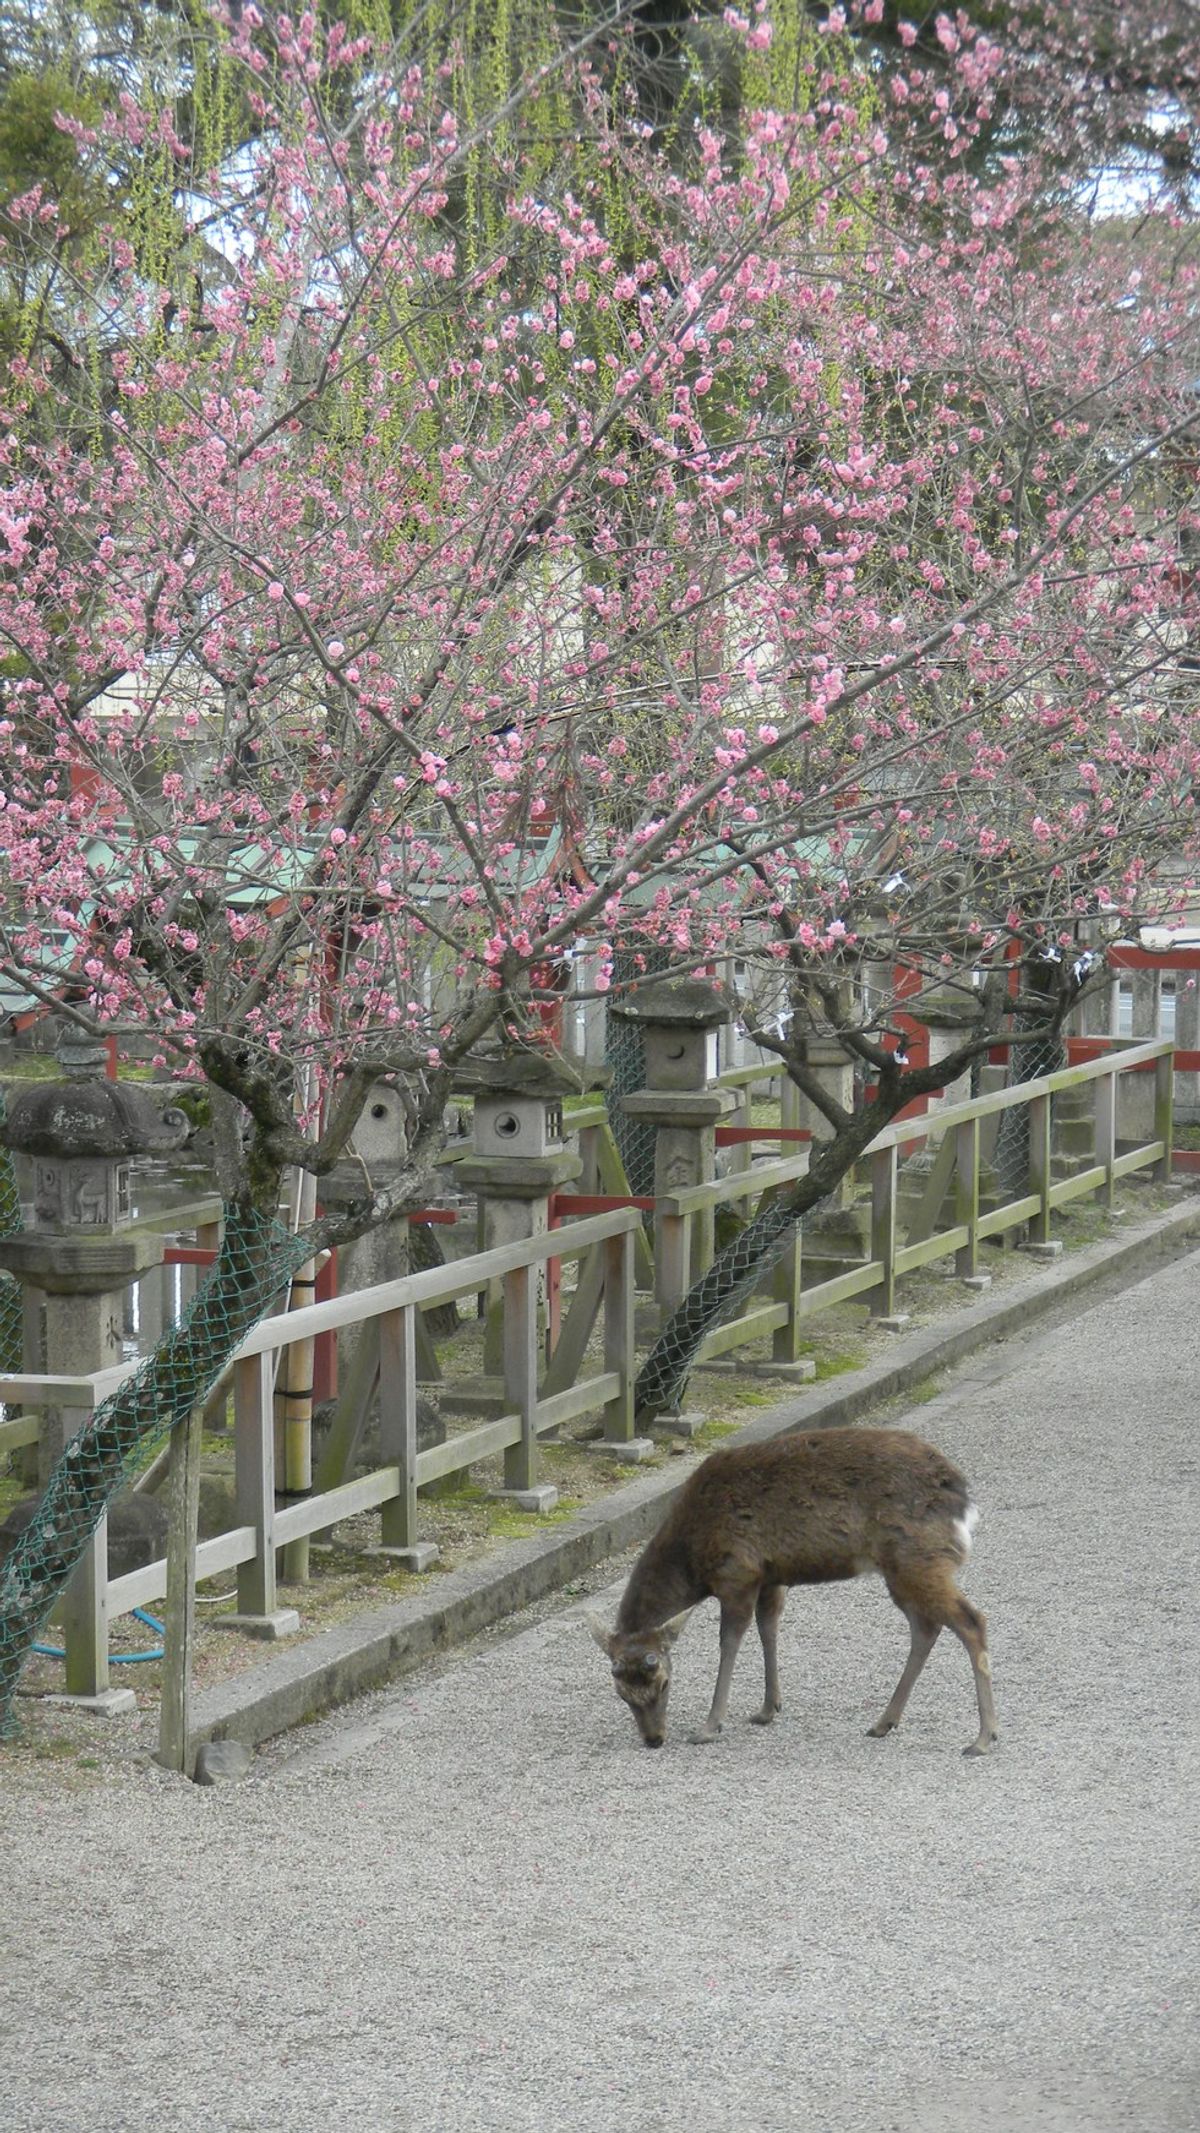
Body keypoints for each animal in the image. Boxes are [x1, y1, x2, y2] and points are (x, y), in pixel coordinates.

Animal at [588, 1424, 1001, 1757]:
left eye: (663, 1682)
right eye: (621, 1693)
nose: (653, 1739)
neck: (692, 1558)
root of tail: (962, 1497)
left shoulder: (737, 1572)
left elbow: (730, 1643)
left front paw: (709, 1726)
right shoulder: (770, 1577)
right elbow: (768, 1629)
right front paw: (768, 1708)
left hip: (918, 1558)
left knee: (971, 1621)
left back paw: (982, 1738)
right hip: (904, 1569)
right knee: (926, 1627)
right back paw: (884, 1722)